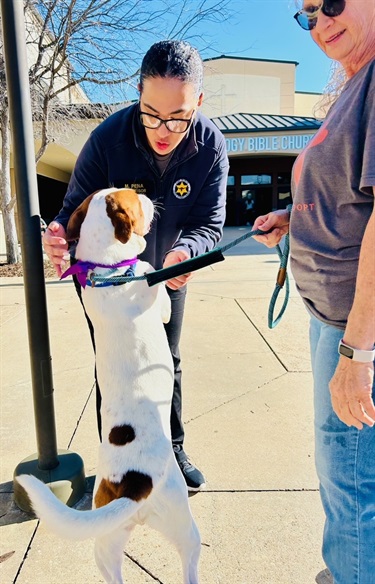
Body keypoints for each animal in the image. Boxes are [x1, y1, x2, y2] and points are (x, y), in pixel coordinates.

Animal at [16, 188, 201, 584]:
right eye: (134, 198)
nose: (150, 197)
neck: (109, 271)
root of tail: (133, 486)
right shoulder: (156, 294)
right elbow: (157, 283)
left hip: (106, 541)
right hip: (183, 525)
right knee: (190, 562)